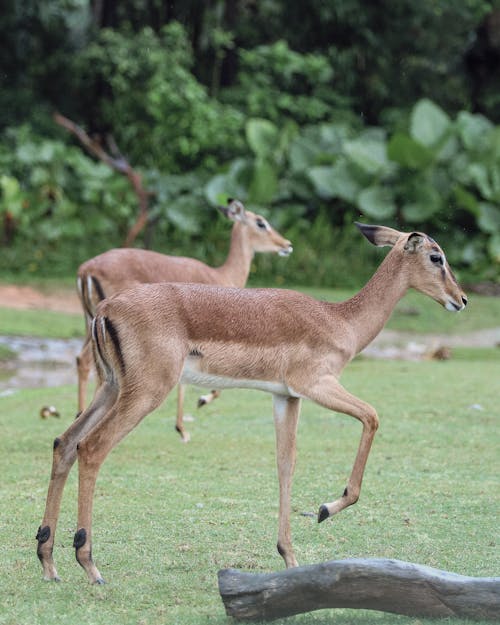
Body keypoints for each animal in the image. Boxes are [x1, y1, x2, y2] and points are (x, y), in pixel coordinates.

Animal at [74, 199, 292, 438]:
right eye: (261, 222)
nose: (287, 244)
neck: (221, 275)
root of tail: (86, 269)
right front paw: (193, 413)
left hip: (90, 325)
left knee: (84, 362)